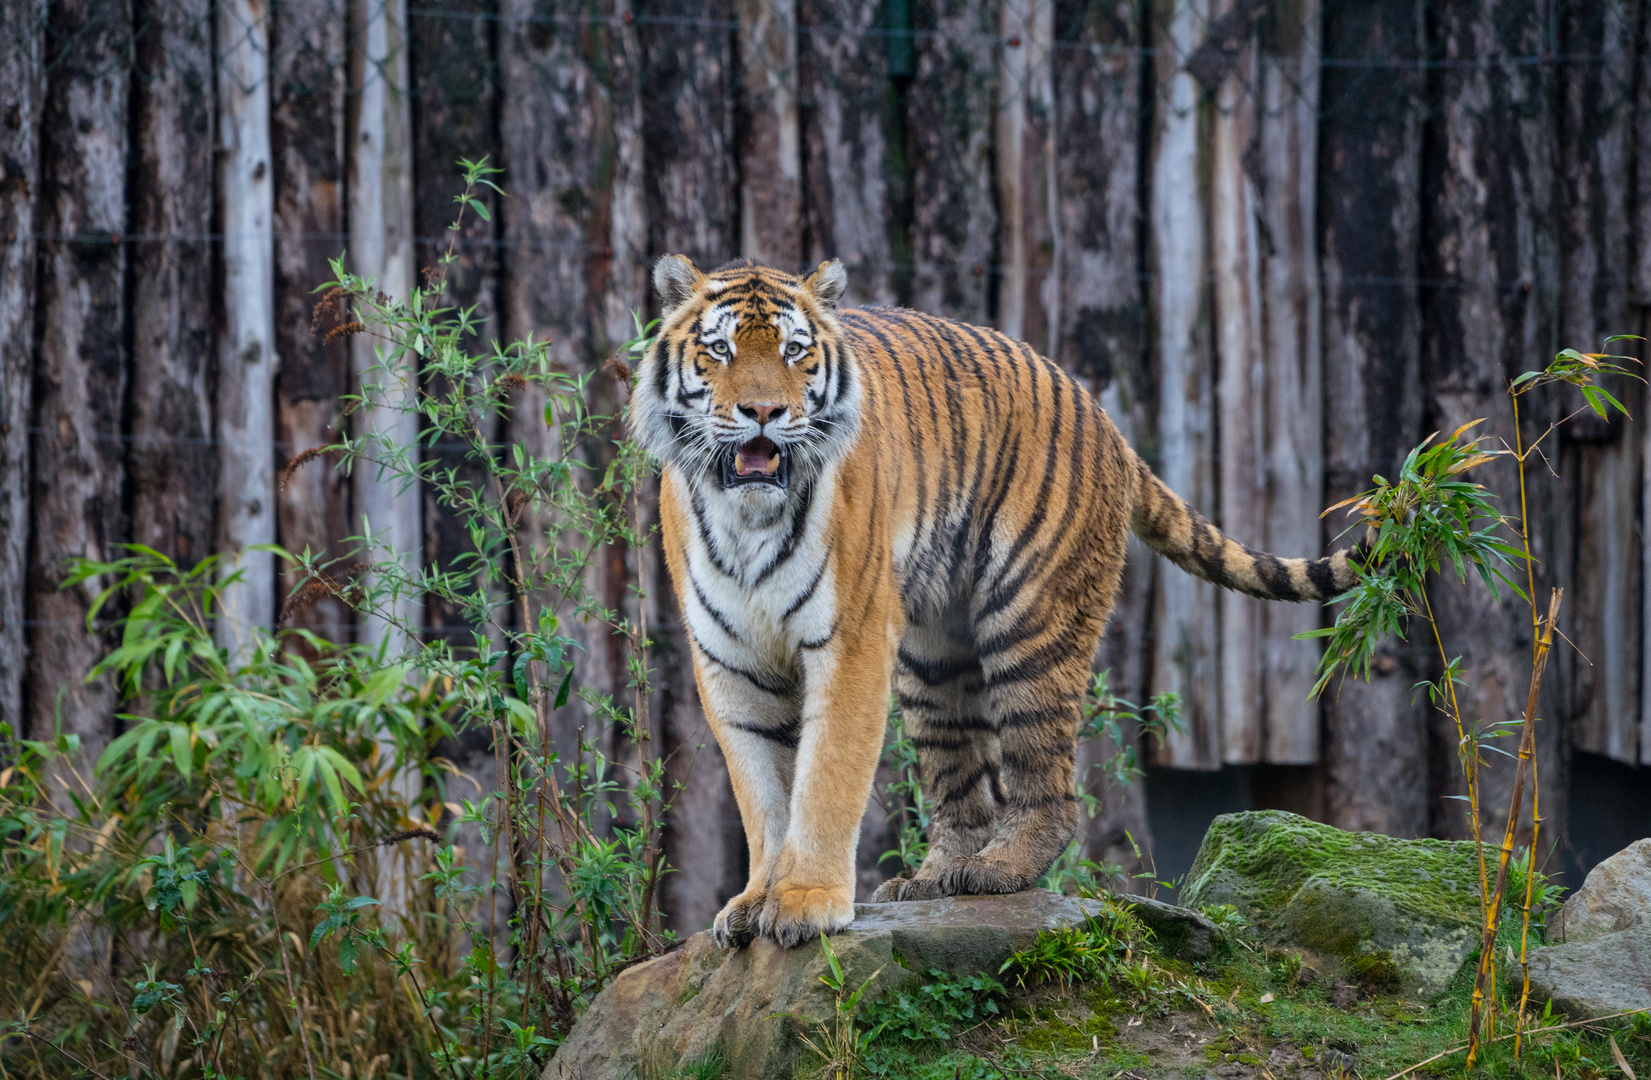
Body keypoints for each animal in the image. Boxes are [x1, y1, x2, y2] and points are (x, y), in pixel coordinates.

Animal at [624, 254, 1360, 951]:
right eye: (719, 351)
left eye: (794, 351)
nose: (763, 413)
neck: (746, 520)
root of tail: (1104, 417)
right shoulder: (731, 661)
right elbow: (764, 795)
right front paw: (754, 902)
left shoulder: (849, 641)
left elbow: (826, 776)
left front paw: (807, 902)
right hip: (930, 659)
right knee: (960, 783)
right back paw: (931, 880)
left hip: (1029, 622)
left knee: (1047, 785)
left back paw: (996, 871)